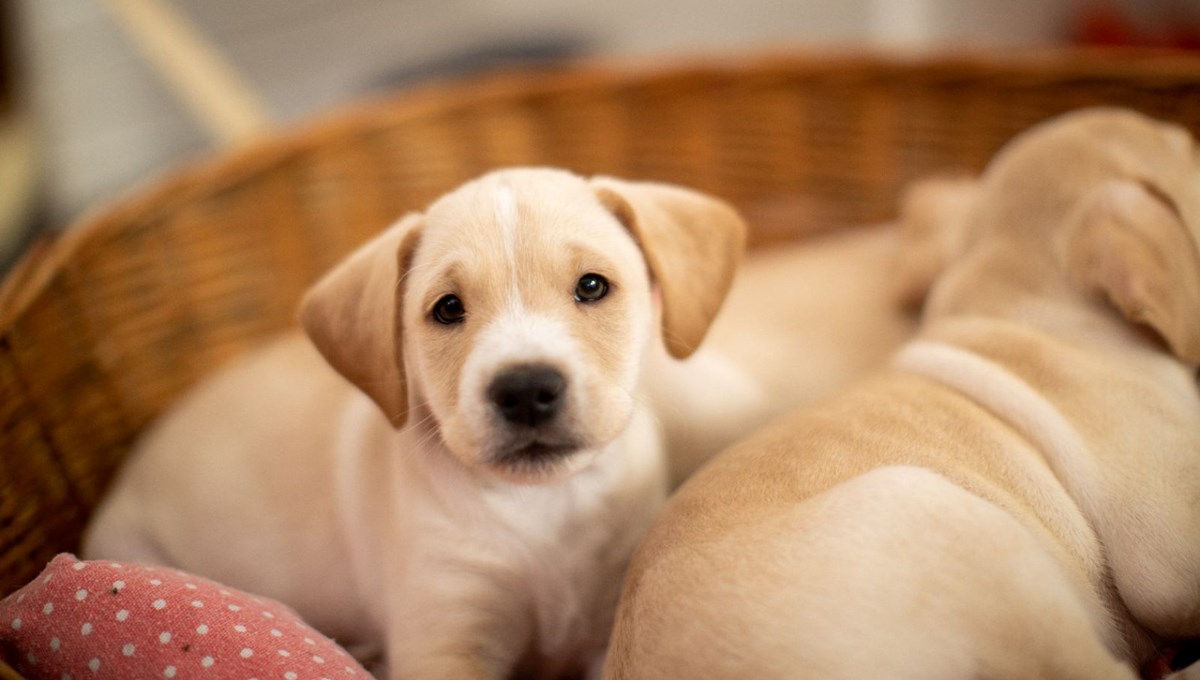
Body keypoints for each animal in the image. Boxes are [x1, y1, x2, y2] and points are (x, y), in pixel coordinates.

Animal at [82, 166, 739, 680]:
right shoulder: (444, 633)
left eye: (593, 286)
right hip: (129, 546)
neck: (544, 507)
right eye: (447, 308)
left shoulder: (607, 623)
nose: (525, 390)